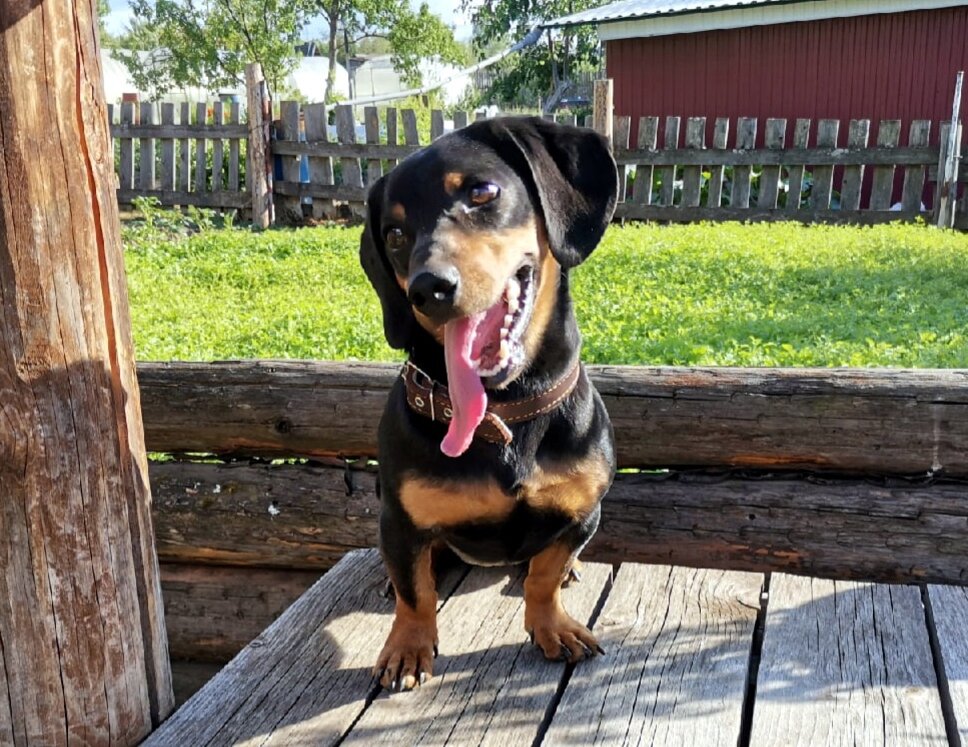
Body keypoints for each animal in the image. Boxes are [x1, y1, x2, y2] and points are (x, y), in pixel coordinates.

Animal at [360, 114, 616, 692]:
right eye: (394, 233)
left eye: (482, 192)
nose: (429, 288)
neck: (503, 415)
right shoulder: (400, 523)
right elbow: (415, 594)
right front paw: (407, 648)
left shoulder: (584, 513)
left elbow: (544, 576)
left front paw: (551, 624)